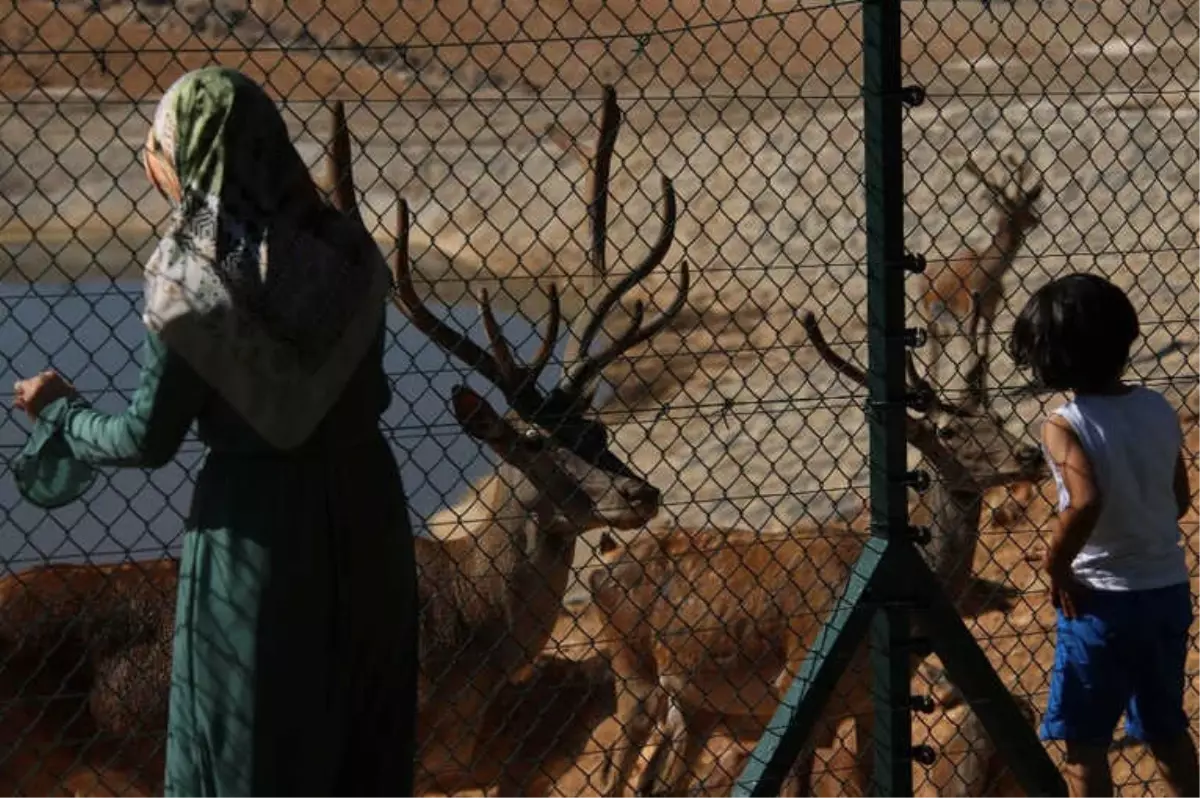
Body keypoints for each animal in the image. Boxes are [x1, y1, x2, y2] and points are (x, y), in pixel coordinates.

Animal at [585, 294, 1046, 796]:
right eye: (948, 432)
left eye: (997, 418)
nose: (1032, 454)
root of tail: (600, 566)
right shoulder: (798, 686)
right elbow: (797, 786)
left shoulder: (867, 701)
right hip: (633, 670)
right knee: (616, 774)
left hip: (697, 704)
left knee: (664, 783)